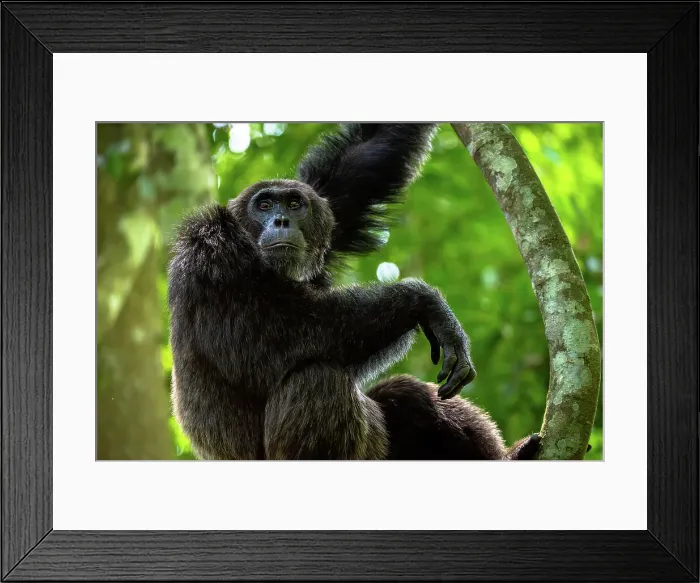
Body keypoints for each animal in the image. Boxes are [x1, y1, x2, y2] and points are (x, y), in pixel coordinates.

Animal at [168, 123, 540, 461]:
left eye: (294, 203)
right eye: (263, 205)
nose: (281, 220)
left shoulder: (328, 205)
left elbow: (365, 156)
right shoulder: (214, 259)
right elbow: (274, 339)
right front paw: (426, 303)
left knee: (405, 393)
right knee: (318, 380)